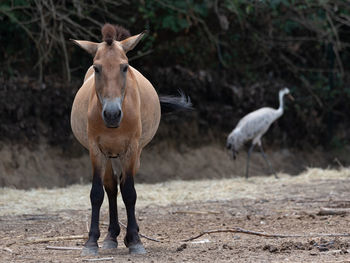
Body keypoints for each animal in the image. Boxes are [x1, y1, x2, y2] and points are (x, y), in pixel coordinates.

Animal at [70, 24, 191, 256]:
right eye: (96, 68)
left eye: (124, 67)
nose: (112, 114)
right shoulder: (96, 150)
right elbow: (97, 193)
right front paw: (91, 242)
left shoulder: (131, 150)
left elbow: (129, 193)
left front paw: (135, 240)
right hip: (110, 156)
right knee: (111, 188)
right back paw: (111, 236)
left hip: (130, 155)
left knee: (123, 186)